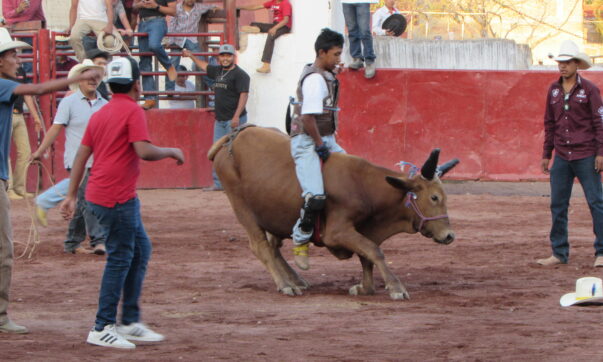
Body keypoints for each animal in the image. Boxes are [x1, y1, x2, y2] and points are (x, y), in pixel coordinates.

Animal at [208, 126, 458, 302]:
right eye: (434, 198)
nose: (449, 235)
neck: (363, 185)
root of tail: (231, 138)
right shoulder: (338, 232)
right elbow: (373, 251)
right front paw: (396, 287)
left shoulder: (365, 229)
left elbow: (366, 255)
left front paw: (365, 287)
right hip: (242, 207)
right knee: (261, 247)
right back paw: (285, 284)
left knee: (273, 246)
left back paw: (295, 279)